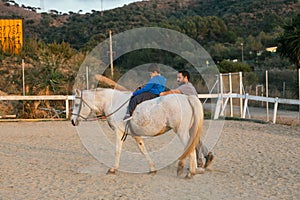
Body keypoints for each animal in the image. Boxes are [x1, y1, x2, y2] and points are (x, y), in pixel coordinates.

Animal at [71, 88, 205, 177]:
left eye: (77, 104)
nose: (72, 121)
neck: (113, 102)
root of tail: (187, 98)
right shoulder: (135, 135)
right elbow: (143, 149)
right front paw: (152, 168)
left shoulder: (119, 132)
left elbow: (117, 150)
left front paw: (113, 169)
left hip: (181, 131)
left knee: (190, 147)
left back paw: (190, 172)